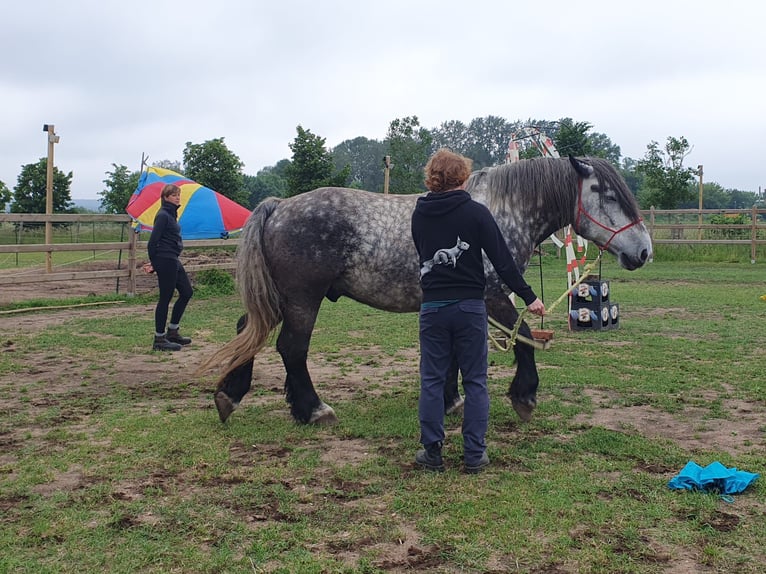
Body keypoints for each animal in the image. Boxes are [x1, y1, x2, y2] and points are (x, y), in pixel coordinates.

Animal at [201, 156, 653, 425]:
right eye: (607, 194)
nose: (644, 250)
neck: (500, 212)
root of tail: (279, 206)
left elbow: (454, 354)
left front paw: (452, 401)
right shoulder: (492, 296)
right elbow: (523, 337)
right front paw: (524, 396)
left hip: (283, 298)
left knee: (249, 331)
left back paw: (233, 396)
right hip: (302, 299)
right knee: (291, 348)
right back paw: (313, 409)